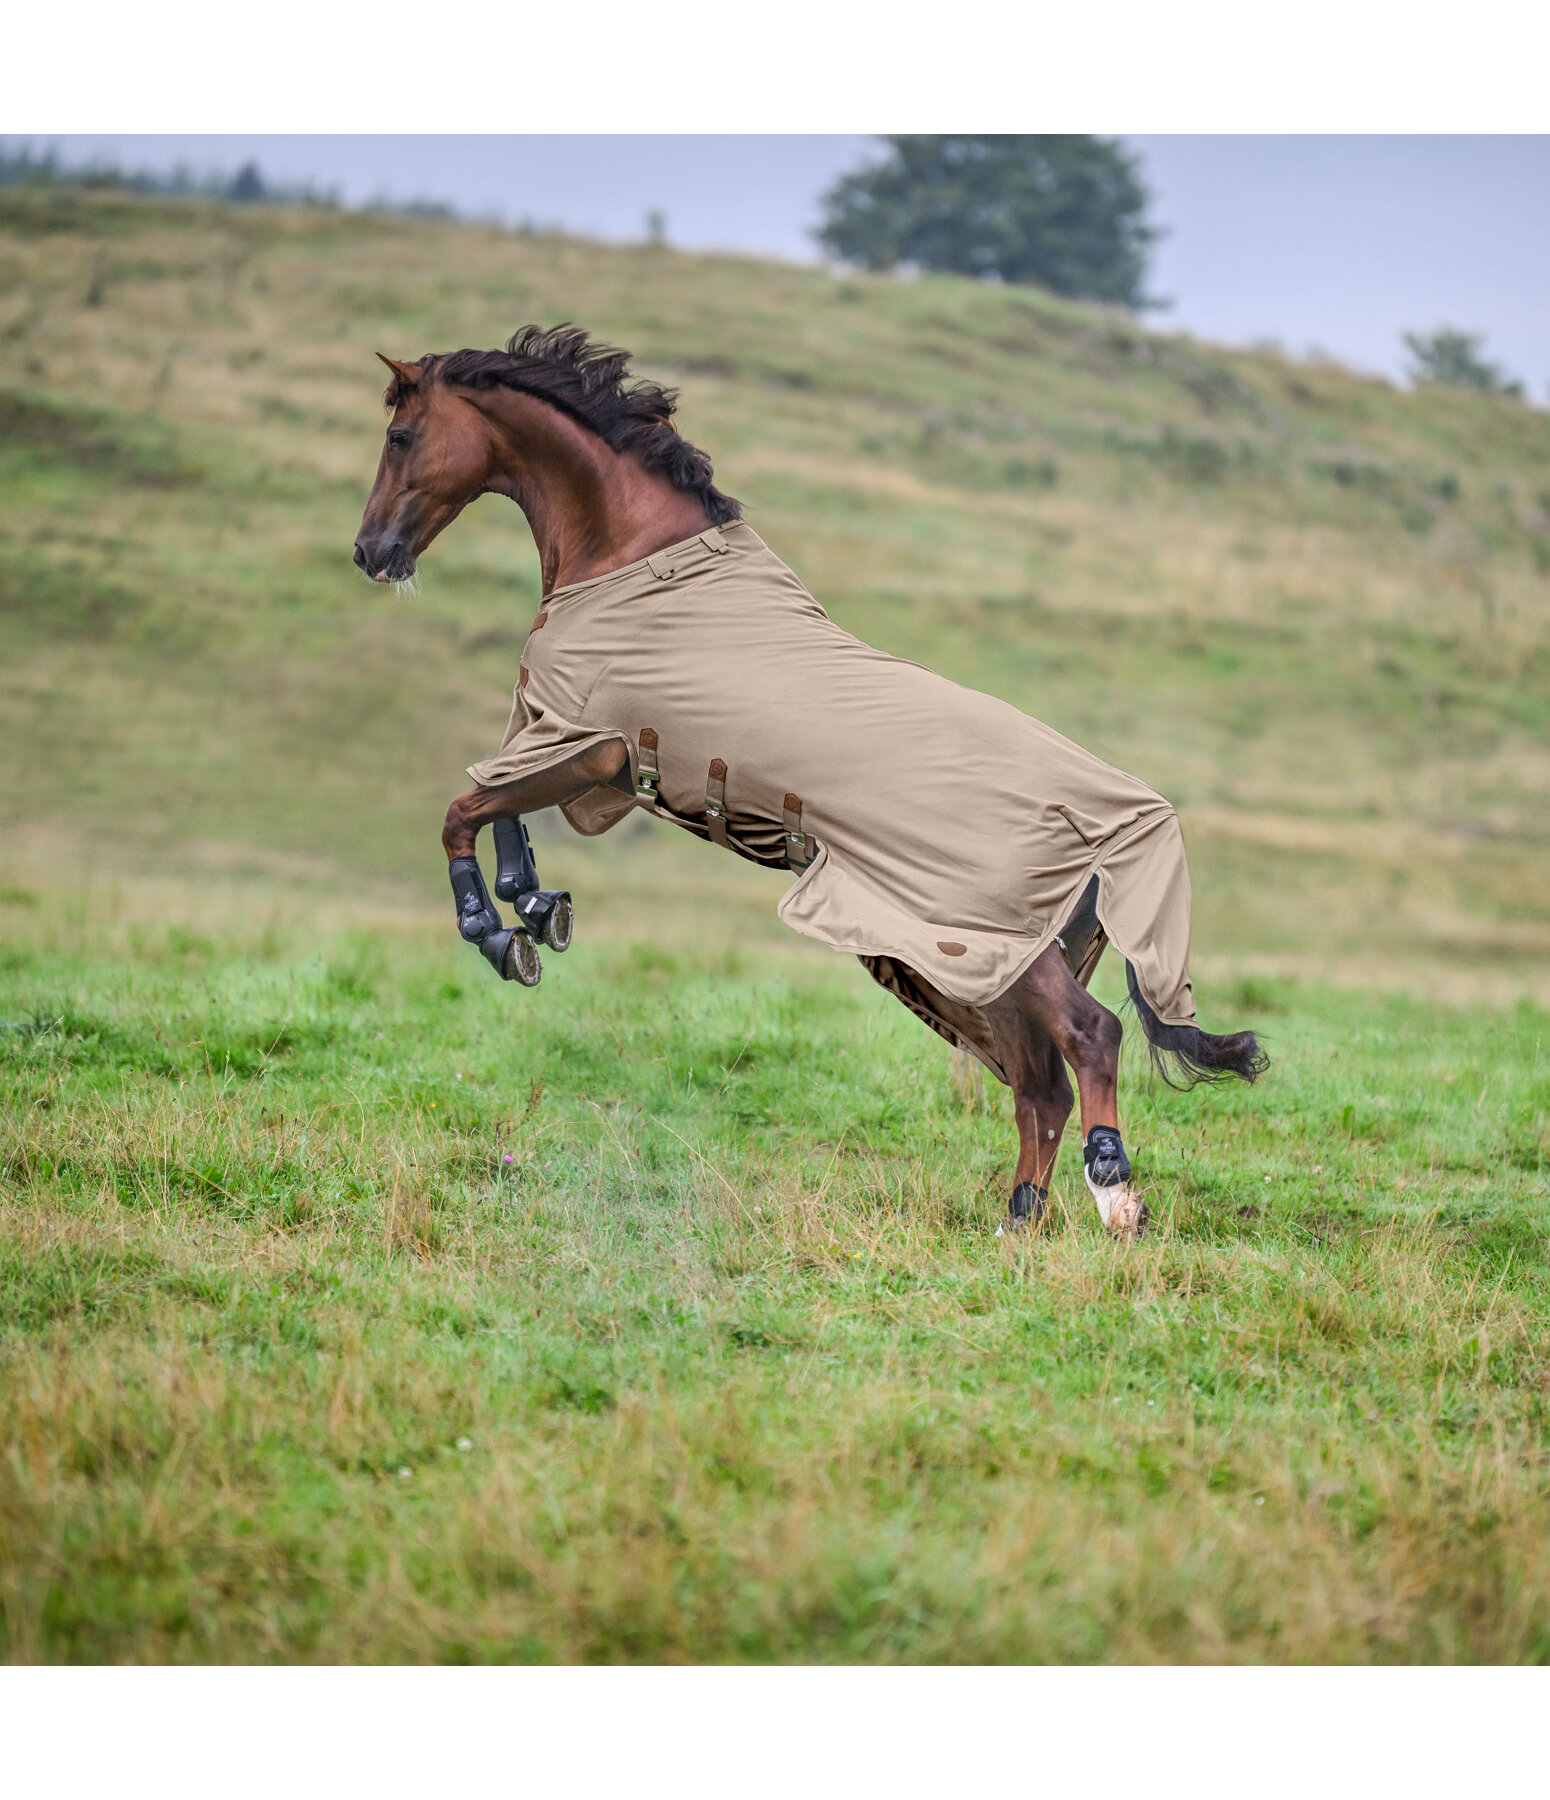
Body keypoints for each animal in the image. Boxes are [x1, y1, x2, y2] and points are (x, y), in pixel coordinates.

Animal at [356, 324, 1267, 1238]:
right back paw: (1018, 1223)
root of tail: (1110, 825)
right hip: (975, 969)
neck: (638, 558)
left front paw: (499, 932)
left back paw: (1114, 1194)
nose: (371, 552)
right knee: (1039, 1087)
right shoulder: (569, 748)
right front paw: (537, 909)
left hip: (985, 951)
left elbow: (462, 810)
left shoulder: (592, 748)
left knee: (1091, 1039)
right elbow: (497, 800)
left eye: (399, 436)